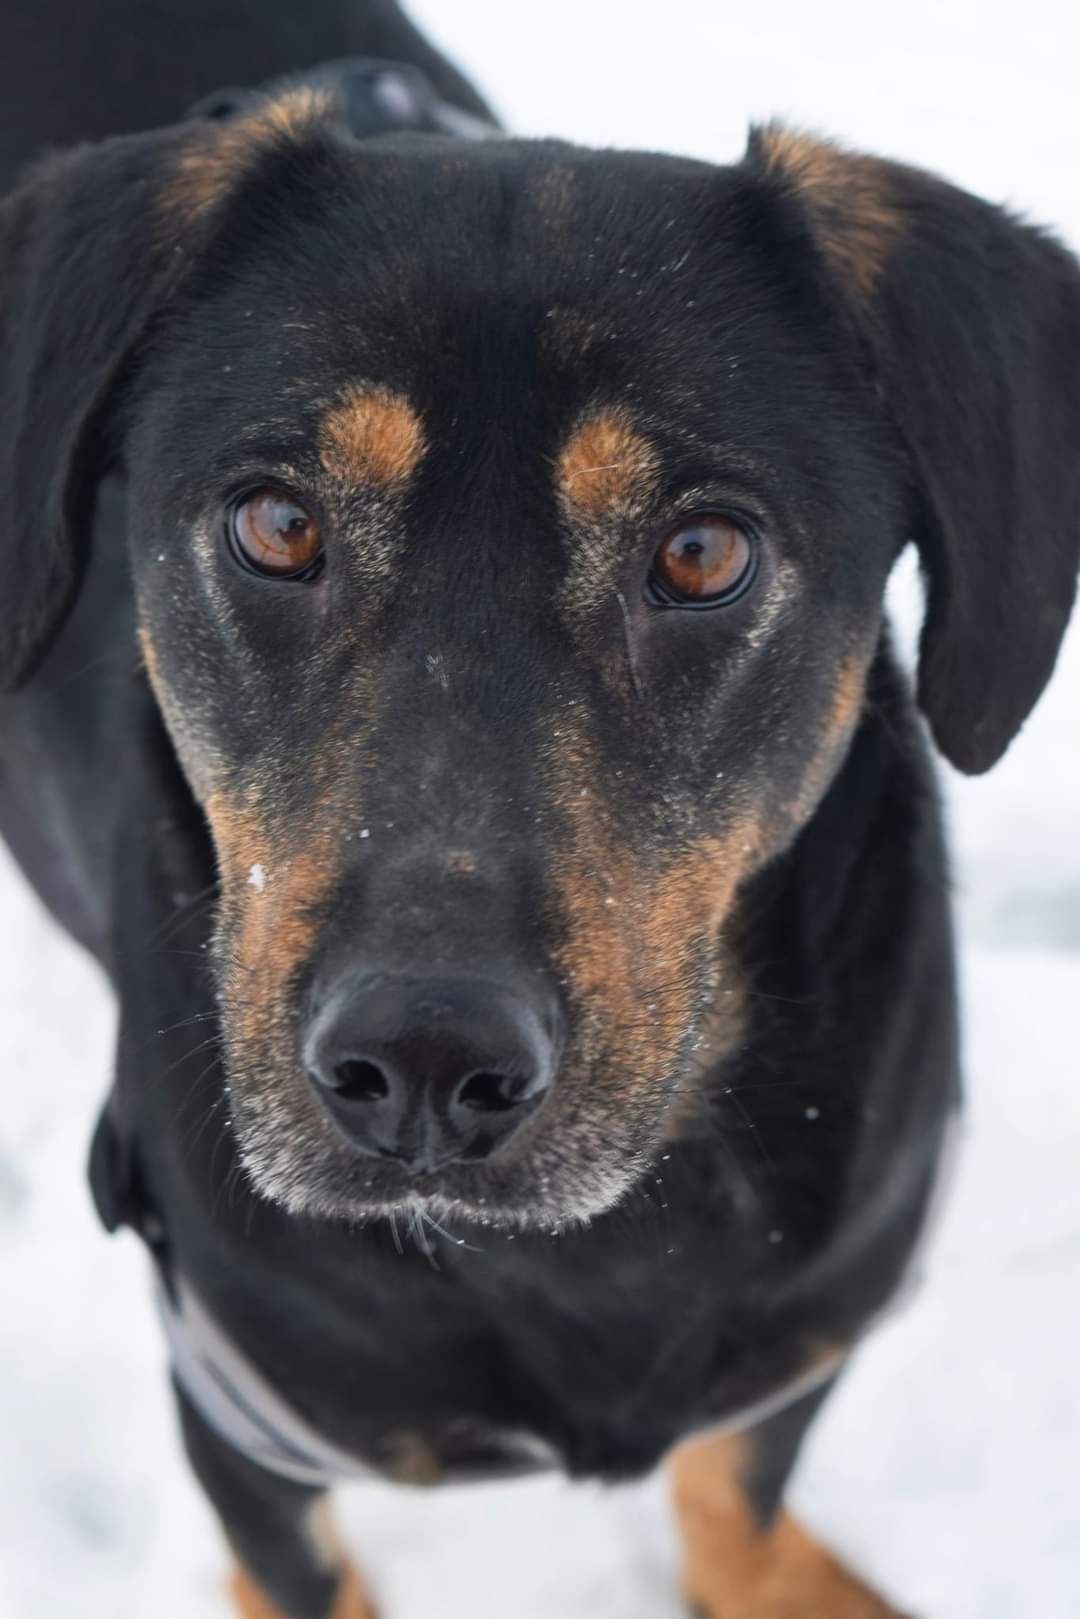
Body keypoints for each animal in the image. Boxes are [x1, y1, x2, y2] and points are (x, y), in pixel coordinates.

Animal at [2, 3, 1080, 1619]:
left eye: (702, 551)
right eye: (277, 523)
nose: (422, 1062)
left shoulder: (799, 1337)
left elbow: (738, 1484)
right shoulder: (244, 1417)